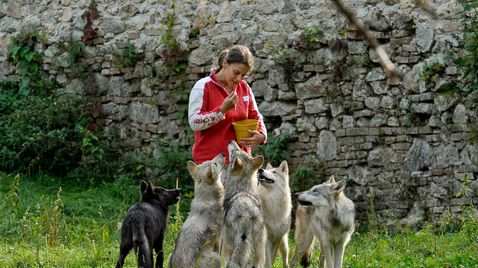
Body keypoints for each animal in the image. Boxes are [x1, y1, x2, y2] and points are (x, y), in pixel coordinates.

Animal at [221, 140, 268, 268]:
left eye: (234, 152)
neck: (242, 189)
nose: (231, 140)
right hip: (260, 253)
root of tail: (246, 213)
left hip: (227, 248)